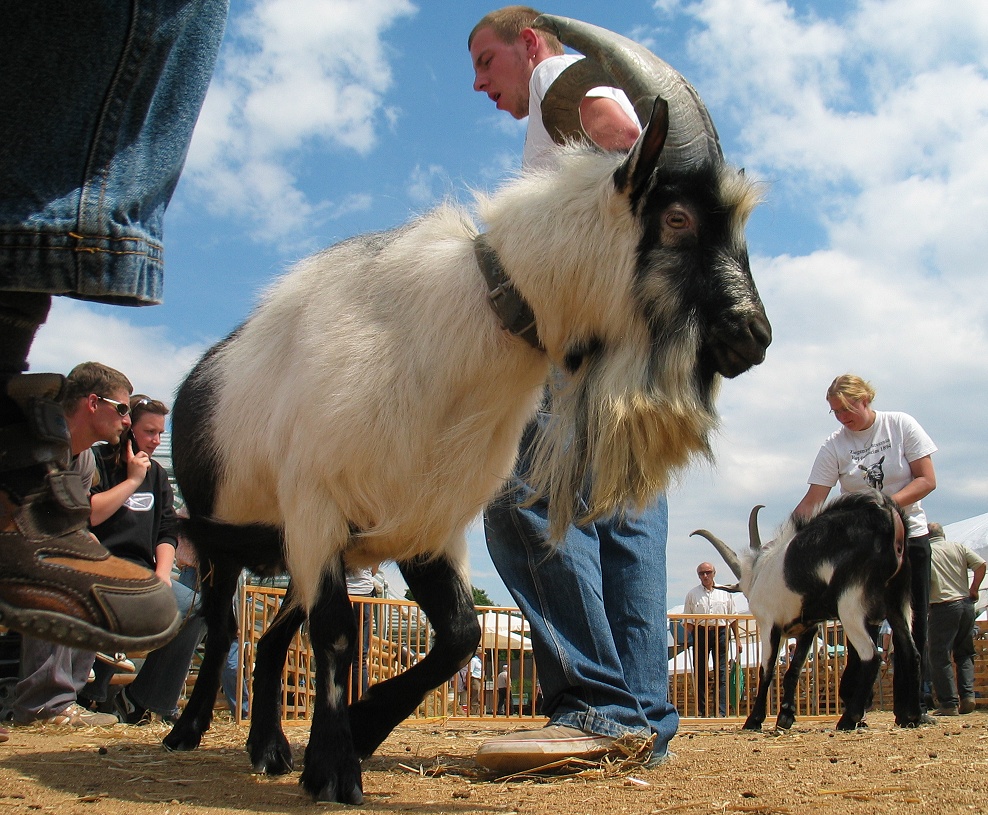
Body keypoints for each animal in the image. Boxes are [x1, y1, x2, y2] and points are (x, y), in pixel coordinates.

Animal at [162, 15, 772, 808]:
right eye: (676, 217)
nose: (754, 336)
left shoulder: (424, 527)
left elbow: (457, 638)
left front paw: (354, 734)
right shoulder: (317, 506)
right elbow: (337, 634)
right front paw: (337, 768)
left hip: (295, 552)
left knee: (269, 639)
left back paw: (268, 746)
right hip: (222, 536)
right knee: (222, 625)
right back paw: (186, 730)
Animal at [692, 490, 924, 732]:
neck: (759, 572)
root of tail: (889, 519)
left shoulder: (769, 625)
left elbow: (766, 670)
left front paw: (754, 720)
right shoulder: (807, 627)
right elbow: (793, 670)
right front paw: (785, 716)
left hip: (851, 605)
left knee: (872, 656)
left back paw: (848, 718)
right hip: (899, 602)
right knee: (912, 652)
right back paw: (912, 716)